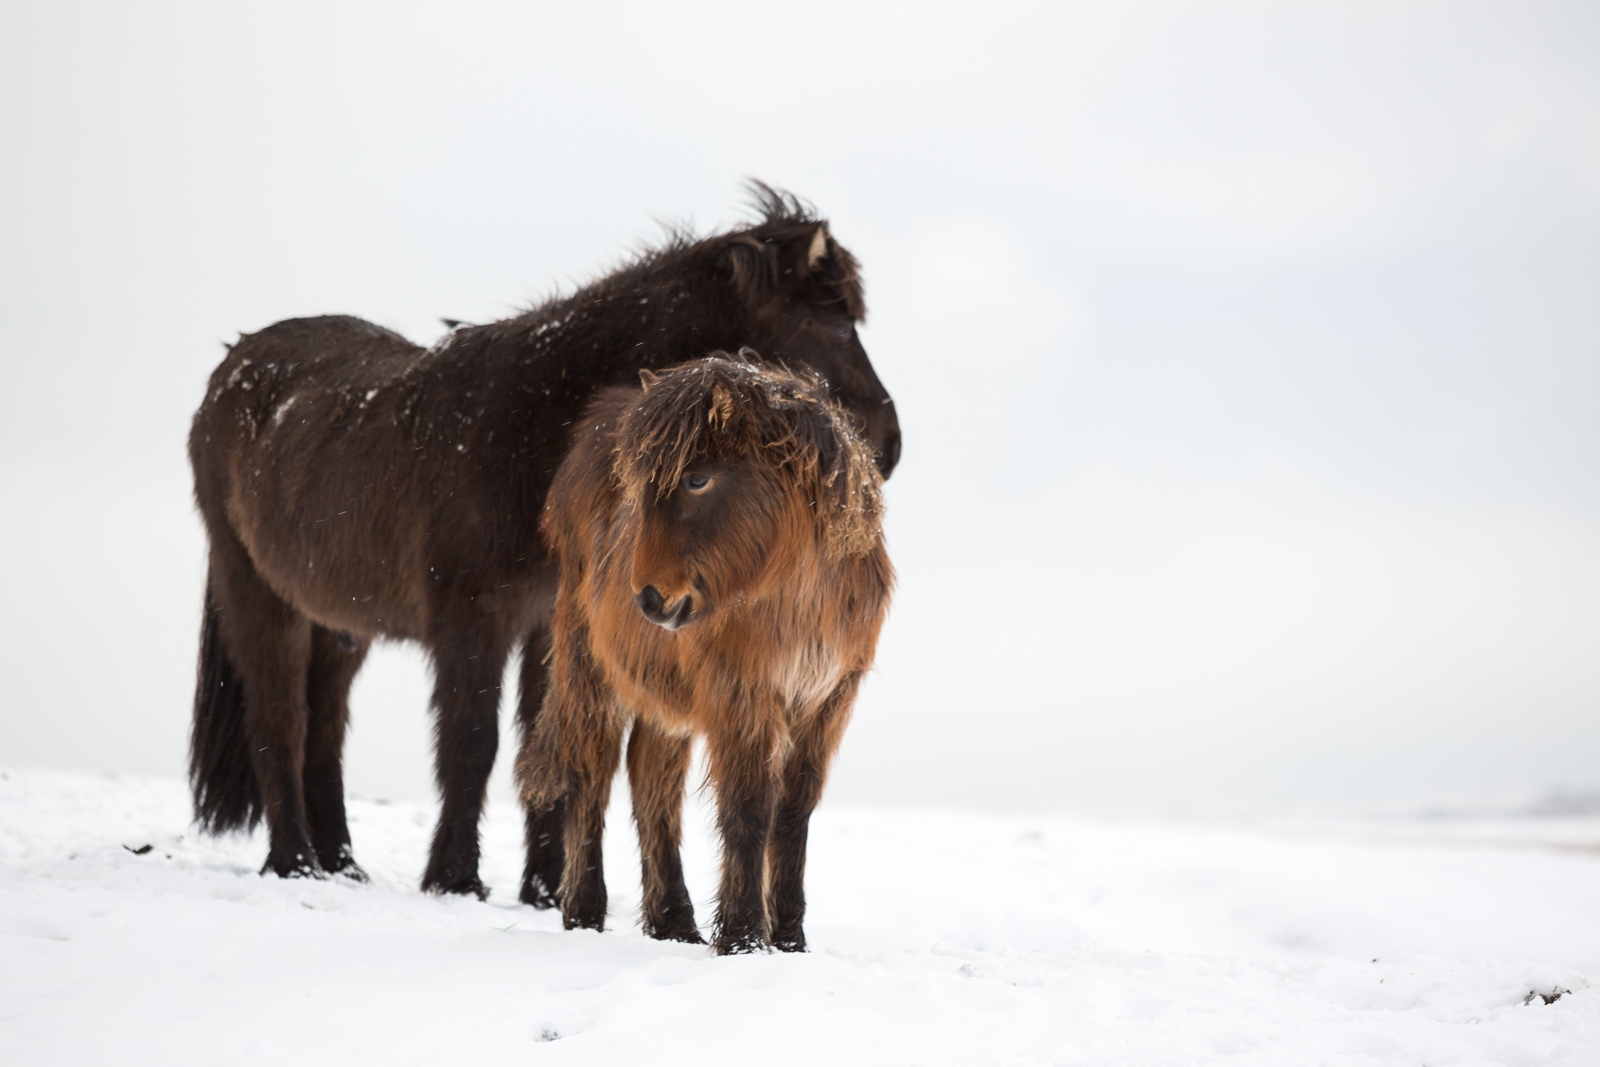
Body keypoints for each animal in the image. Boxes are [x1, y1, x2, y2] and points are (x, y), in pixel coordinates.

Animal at [516, 353, 892, 954]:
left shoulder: (827, 701)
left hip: (662, 694)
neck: (793, 591)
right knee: (591, 777)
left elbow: (793, 814)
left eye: (698, 478)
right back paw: (584, 912)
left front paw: (790, 939)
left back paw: (674, 922)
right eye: (641, 491)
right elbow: (748, 809)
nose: (649, 598)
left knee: (652, 783)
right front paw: (744, 937)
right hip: (591, 671)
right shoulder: (741, 692)